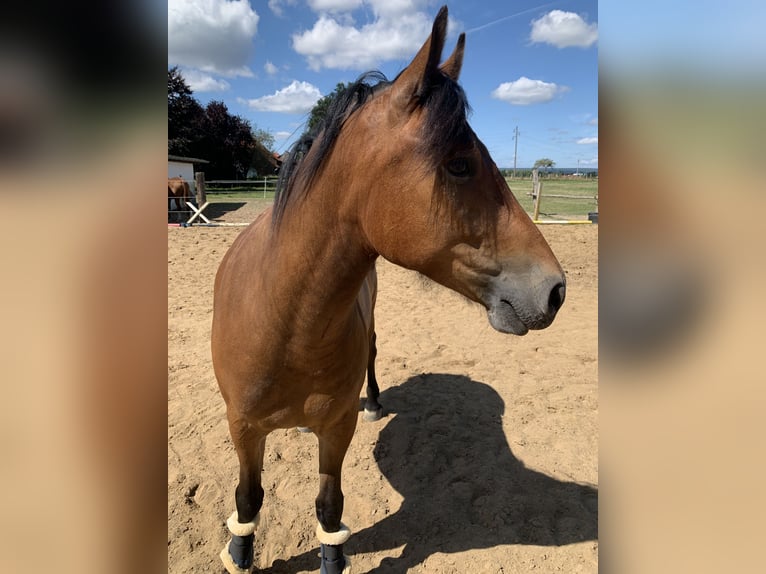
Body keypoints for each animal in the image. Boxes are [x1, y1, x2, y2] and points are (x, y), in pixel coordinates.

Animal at [213, 5, 568, 574]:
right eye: (459, 163)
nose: (555, 289)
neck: (281, 322)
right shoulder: (242, 429)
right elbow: (248, 499)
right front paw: (240, 551)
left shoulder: (337, 430)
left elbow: (330, 506)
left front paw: (332, 556)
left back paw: (376, 403)